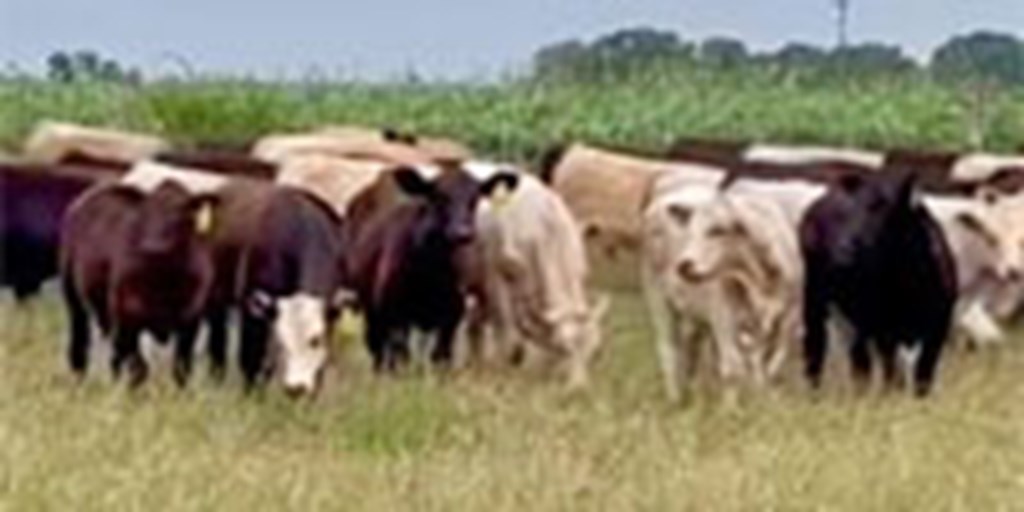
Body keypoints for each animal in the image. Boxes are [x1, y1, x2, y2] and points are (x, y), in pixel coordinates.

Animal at [60, 181, 219, 387]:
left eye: (180, 213)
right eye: (145, 213)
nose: (152, 246)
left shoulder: (191, 321)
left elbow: (181, 369)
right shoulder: (127, 317)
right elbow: (139, 368)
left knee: (114, 357)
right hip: (73, 297)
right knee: (79, 345)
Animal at [346, 164, 518, 372]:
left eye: (474, 198)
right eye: (439, 196)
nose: (463, 233)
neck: (431, 273)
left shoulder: (451, 317)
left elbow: (441, 357)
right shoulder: (395, 316)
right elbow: (401, 358)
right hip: (372, 311)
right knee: (378, 350)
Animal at [799, 172, 958, 396]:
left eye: (885, 209)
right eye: (846, 215)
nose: (843, 250)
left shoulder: (937, 329)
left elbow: (923, 374)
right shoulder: (883, 331)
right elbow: (892, 374)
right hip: (814, 298)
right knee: (817, 348)